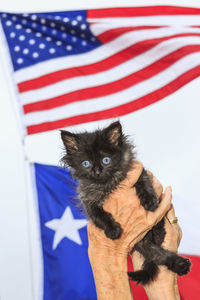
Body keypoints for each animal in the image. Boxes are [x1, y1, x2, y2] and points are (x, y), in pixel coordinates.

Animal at [60, 121, 191, 284]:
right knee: (156, 255)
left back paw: (180, 264)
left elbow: (144, 183)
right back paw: (179, 264)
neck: (107, 184)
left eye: (106, 160)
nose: (97, 171)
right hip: (141, 241)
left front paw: (150, 201)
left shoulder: (139, 173)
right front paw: (113, 230)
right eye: (86, 163)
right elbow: (99, 215)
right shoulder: (88, 200)